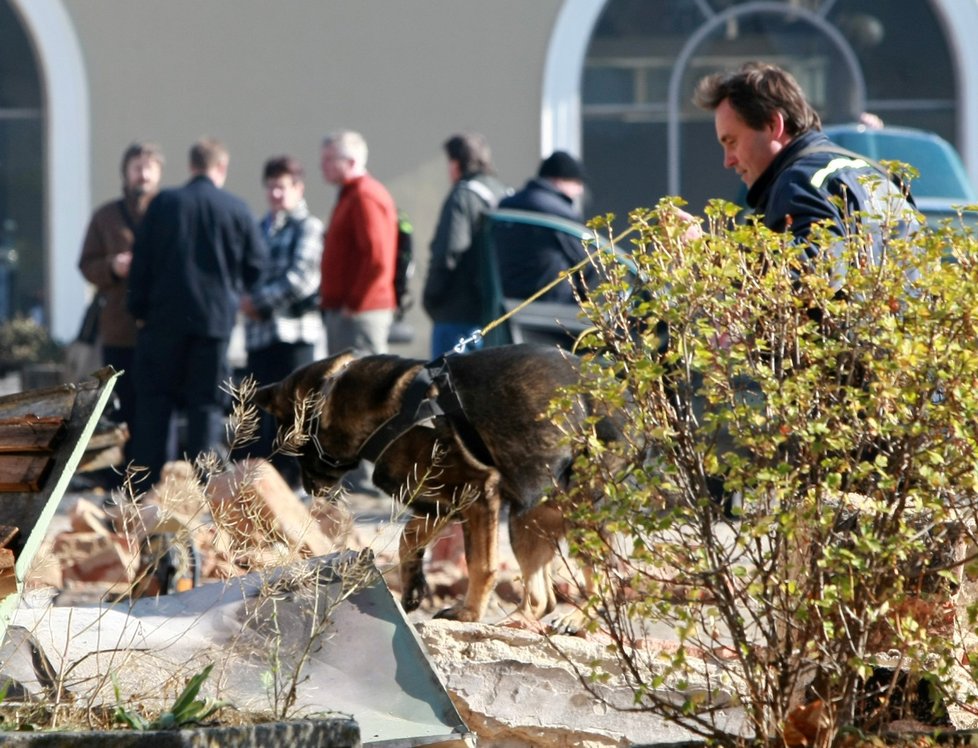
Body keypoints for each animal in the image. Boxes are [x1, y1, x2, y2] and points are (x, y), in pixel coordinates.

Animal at [254, 344, 616, 620]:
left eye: (293, 445)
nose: (310, 490)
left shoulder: (477, 494)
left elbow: (480, 564)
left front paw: (468, 614)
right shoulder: (442, 504)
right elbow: (408, 537)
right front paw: (414, 585)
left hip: (561, 517)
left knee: (593, 582)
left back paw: (569, 622)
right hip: (536, 514)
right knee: (546, 597)